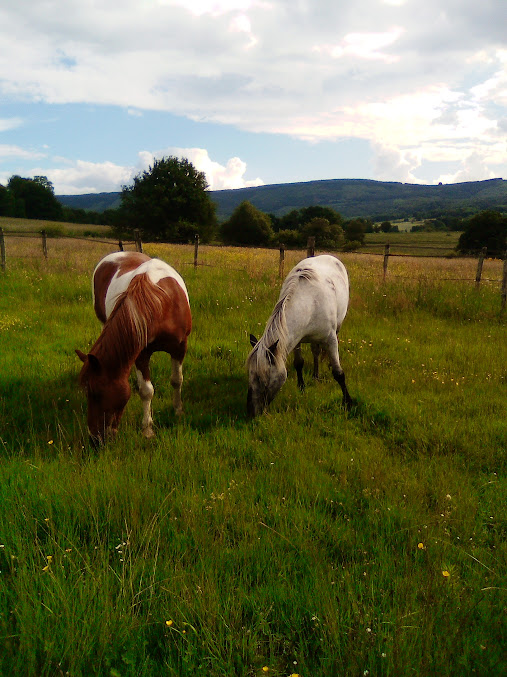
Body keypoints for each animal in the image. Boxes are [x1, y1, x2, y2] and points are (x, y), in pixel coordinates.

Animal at [76, 251, 192, 444]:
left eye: (97, 394)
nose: (94, 439)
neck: (163, 304)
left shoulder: (179, 347)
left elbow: (177, 380)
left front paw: (178, 410)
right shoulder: (141, 354)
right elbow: (146, 391)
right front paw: (148, 429)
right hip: (103, 321)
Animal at [246, 254, 352, 417]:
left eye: (263, 379)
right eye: (250, 376)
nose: (251, 411)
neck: (310, 304)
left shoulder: (330, 339)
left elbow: (339, 373)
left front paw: (348, 402)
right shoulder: (296, 339)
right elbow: (299, 363)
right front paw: (301, 387)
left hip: (337, 328)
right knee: (315, 352)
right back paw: (315, 375)